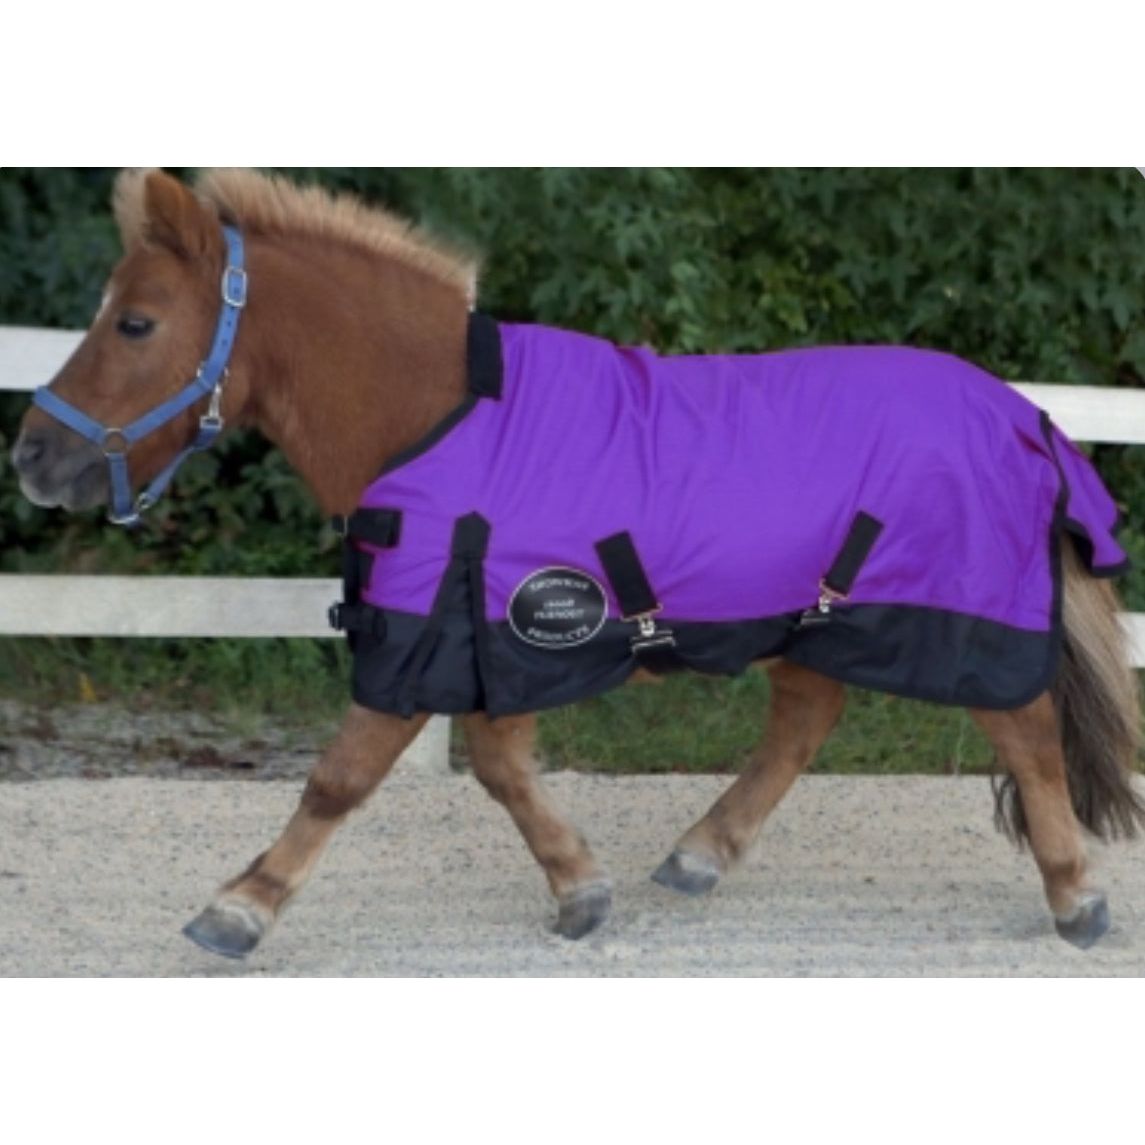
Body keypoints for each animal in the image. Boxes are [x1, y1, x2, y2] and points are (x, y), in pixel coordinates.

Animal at [12, 167, 1145, 960]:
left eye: (136, 321)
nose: (32, 456)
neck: (443, 415)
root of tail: (1020, 413)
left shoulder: (435, 636)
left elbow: (339, 777)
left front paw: (239, 906)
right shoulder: (490, 639)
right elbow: (502, 768)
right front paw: (577, 886)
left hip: (962, 615)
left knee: (1024, 728)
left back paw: (1073, 892)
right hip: (805, 612)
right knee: (804, 718)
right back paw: (698, 853)